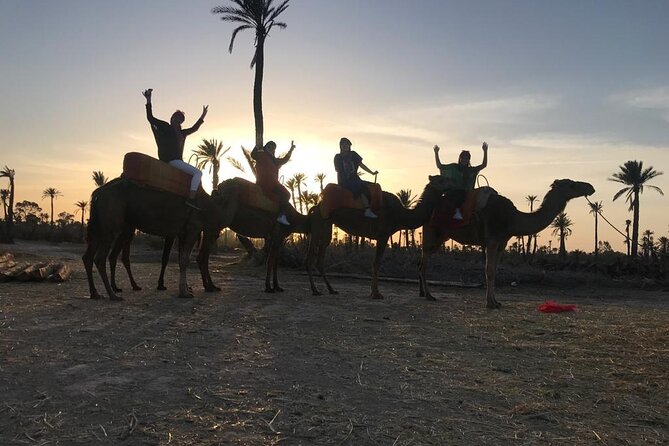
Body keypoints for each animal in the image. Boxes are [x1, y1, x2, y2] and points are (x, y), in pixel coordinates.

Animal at [82, 179, 224, 302]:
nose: (217, 235)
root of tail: (99, 192)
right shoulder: (193, 228)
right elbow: (184, 260)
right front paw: (185, 292)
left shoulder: (183, 232)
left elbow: (181, 258)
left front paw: (189, 288)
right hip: (111, 224)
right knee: (100, 258)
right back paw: (113, 295)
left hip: (100, 226)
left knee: (89, 256)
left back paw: (96, 293)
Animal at [308, 176, 448, 298]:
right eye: (442, 180)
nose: (451, 185)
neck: (400, 215)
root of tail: (316, 206)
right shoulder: (383, 235)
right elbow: (376, 263)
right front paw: (376, 294)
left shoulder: (382, 236)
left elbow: (375, 262)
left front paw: (373, 292)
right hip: (320, 226)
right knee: (311, 258)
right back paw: (315, 290)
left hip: (326, 228)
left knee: (319, 260)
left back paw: (330, 289)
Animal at [418, 178, 596, 306]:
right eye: (571, 184)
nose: (590, 187)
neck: (513, 218)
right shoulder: (492, 239)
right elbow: (489, 270)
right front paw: (490, 303)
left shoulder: (502, 242)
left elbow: (495, 271)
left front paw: (496, 301)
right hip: (431, 232)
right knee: (424, 263)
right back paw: (429, 295)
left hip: (440, 237)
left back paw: (423, 293)